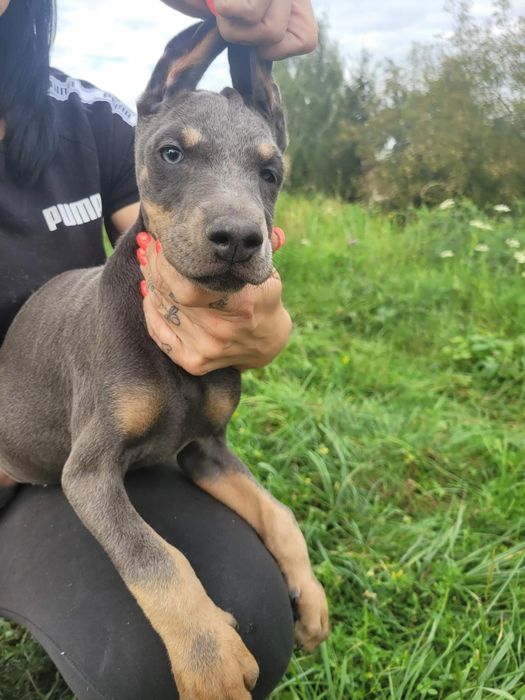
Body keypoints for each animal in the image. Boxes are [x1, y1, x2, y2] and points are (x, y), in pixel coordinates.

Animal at [0, 19, 328, 696]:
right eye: (171, 153)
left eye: (272, 172)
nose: (238, 240)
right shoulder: (88, 471)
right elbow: (152, 554)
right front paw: (208, 655)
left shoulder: (207, 450)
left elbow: (278, 512)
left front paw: (308, 596)